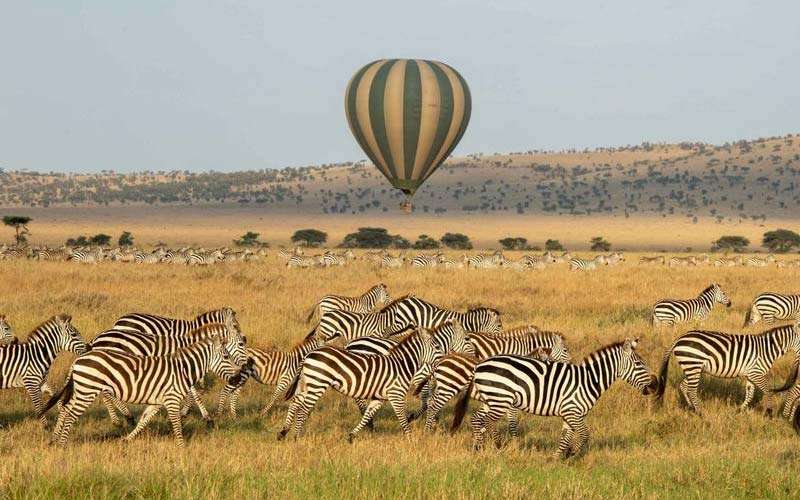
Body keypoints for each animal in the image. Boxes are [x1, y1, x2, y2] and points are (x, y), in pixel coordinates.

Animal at [43, 332, 250, 446]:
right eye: (226, 357)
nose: (238, 377)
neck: (183, 368)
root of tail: (77, 361)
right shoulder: (172, 399)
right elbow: (177, 424)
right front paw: (181, 447)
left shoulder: (157, 402)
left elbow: (143, 420)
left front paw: (126, 440)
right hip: (87, 390)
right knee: (70, 413)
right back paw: (62, 443)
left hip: (82, 390)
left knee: (65, 408)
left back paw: (54, 440)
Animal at [278, 328, 444, 442]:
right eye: (437, 347)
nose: (444, 359)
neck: (401, 365)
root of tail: (308, 355)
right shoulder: (396, 394)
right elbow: (402, 418)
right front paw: (411, 439)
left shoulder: (379, 398)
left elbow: (367, 416)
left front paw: (351, 436)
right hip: (317, 383)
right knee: (303, 409)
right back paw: (296, 437)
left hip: (306, 383)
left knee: (295, 403)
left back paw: (283, 432)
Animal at [454, 340, 652, 458]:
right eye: (639, 364)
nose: (654, 386)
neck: (589, 380)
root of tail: (479, 365)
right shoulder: (573, 411)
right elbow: (585, 435)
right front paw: (573, 454)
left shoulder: (570, 413)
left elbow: (566, 436)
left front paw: (558, 458)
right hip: (499, 399)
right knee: (488, 422)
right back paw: (496, 446)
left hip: (491, 399)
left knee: (476, 419)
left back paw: (478, 448)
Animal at [652, 324, 800, 414]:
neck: (767, 349)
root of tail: (679, 338)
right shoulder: (756, 373)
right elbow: (768, 391)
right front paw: (769, 412)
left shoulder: (750, 374)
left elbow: (750, 393)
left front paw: (739, 410)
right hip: (693, 365)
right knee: (691, 390)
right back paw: (700, 413)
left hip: (692, 368)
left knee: (683, 386)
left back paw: (692, 408)